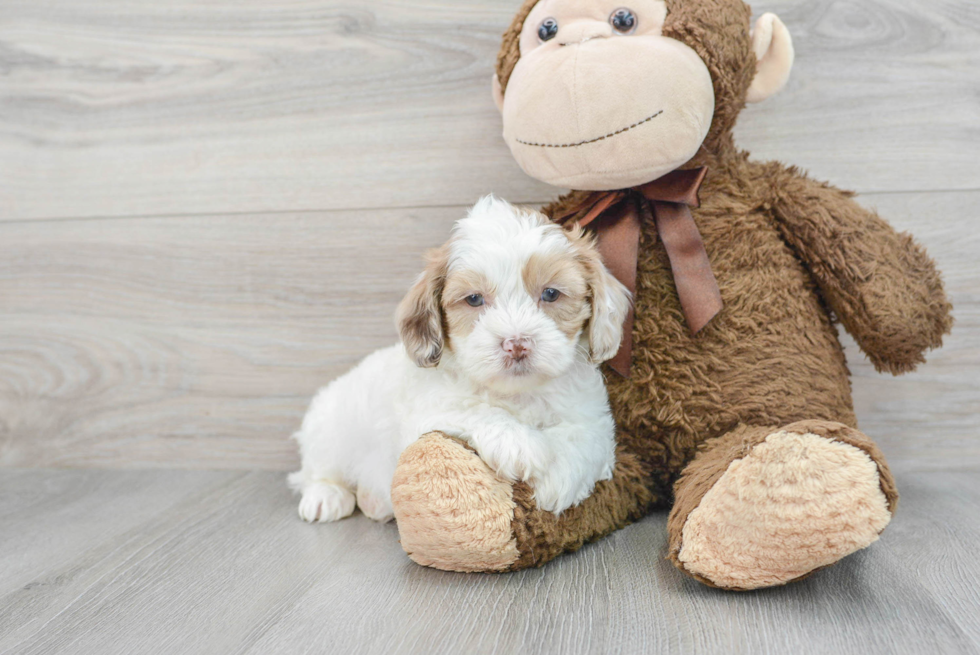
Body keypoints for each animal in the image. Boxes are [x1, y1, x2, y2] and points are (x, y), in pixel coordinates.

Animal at [288, 195, 632, 524]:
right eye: (474, 299)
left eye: (550, 294)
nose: (517, 344)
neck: (518, 394)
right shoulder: (429, 409)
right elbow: (474, 409)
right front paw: (520, 444)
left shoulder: (593, 417)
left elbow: (583, 438)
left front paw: (557, 480)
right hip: (331, 425)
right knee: (316, 470)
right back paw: (326, 496)